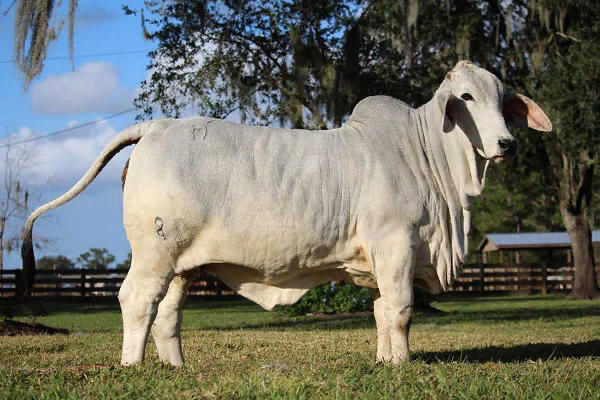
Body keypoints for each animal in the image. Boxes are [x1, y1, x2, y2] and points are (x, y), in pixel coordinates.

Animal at [21, 60, 552, 366]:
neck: (427, 157)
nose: (506, 143)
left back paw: (178, 369)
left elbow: (381, 311)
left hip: (181, 265)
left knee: (167, 312)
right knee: (136, 301)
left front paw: (386, 363)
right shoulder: (396, 244)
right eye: (466, 98)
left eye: (503, 100)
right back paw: (131, 366)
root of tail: (155, 126)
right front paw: (402, 366)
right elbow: (400, 309)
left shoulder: (381, 259)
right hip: (153, 252)